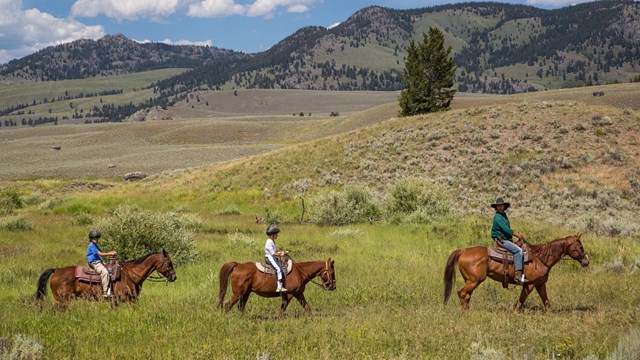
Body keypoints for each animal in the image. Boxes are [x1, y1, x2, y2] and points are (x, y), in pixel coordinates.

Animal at [37, 250, 178, 304]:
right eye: (169, 263)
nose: (174, 277)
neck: (130, 274)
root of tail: (56, 270)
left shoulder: (131, 300)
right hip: (61, 299)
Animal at [444, 235, 592, 310]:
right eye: (580, 246)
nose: (586, 261)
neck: (540, 258)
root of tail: (463, 250)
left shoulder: (540, 284)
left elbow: (546, 301)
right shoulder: (529, 284)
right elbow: (521, 300)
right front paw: (515, 312)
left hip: (470, 281)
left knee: (467, 295)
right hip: (474, 280)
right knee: (462, 293)